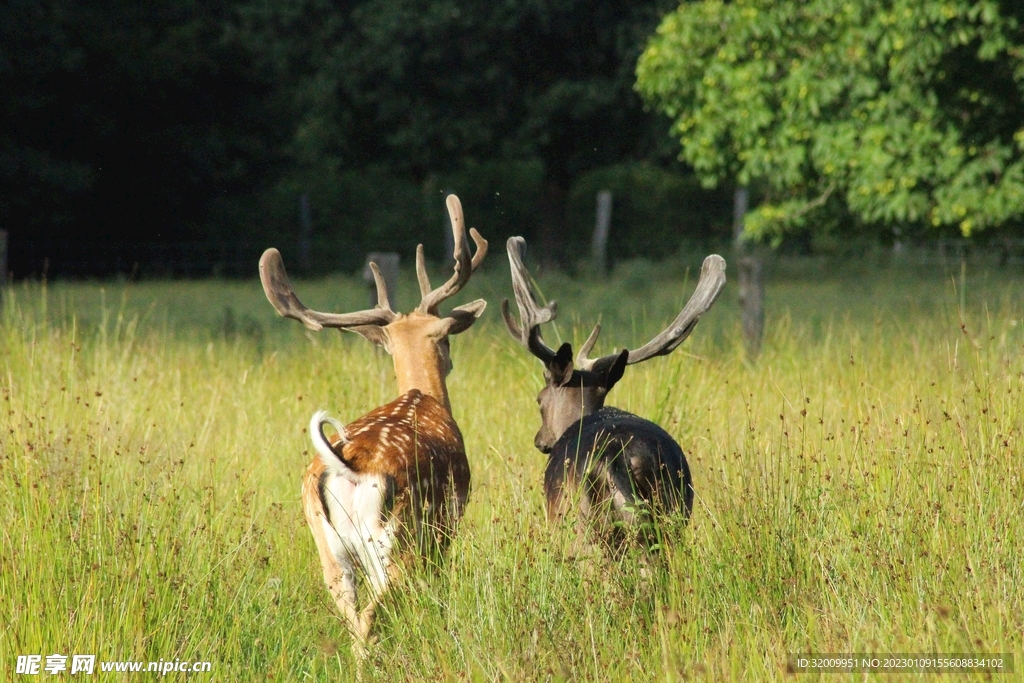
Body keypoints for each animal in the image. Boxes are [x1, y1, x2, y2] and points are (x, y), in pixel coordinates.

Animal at [259, 195, 487, 656]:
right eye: (446, 339)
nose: (450, 358)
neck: (424, 396)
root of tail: (345, 463)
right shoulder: (446, 527)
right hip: (394, 537)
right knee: (370, 615)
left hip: (327, 546)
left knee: (349, 615)